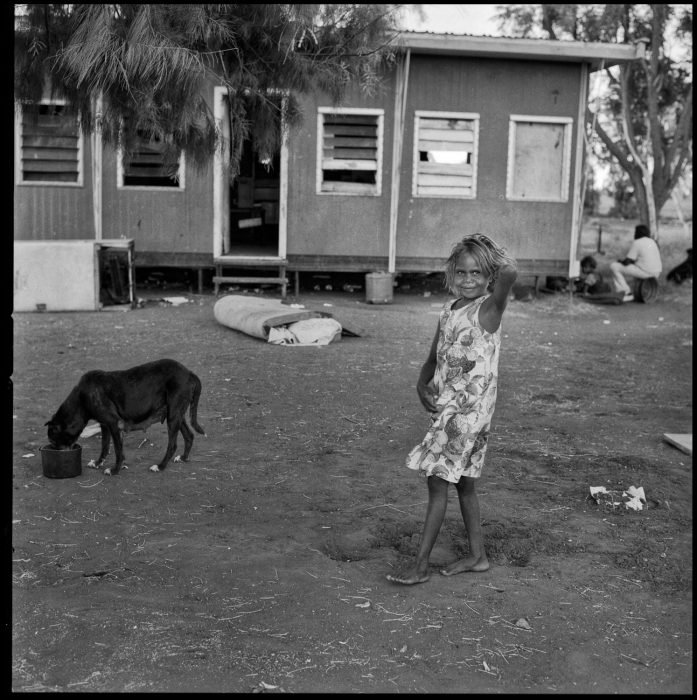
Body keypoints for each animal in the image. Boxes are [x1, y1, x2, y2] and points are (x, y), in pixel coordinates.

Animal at [44, 360, 204, 476]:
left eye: (53, 440)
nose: (55, 451)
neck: (81, 400)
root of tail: (189, 373)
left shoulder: (113, 424)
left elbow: (117, 451)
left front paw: (114, 470)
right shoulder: (105, 425)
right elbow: (105, 446)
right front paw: (98, 463)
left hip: (173, 417)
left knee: (173, 445)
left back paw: (160, 466)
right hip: (176, 415)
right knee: (189, 436)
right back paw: (183, 458)